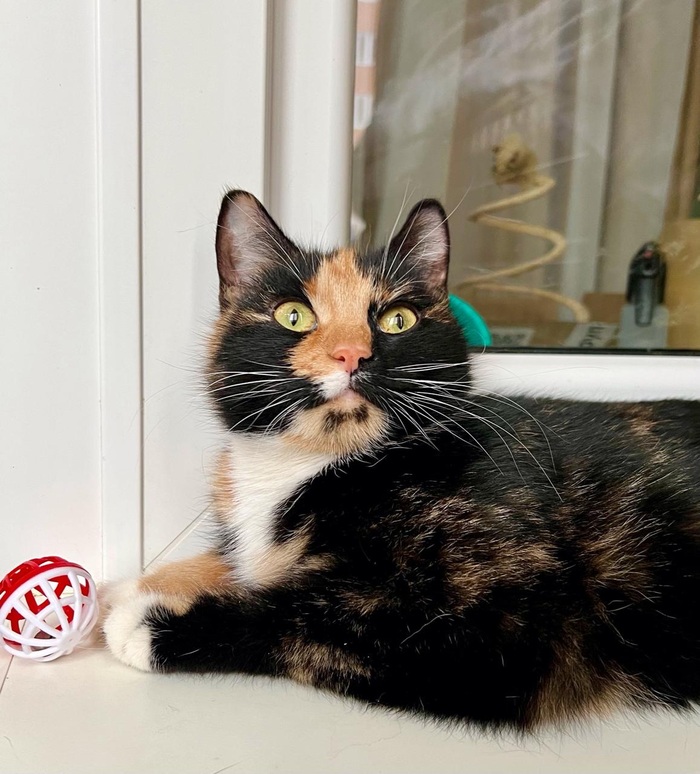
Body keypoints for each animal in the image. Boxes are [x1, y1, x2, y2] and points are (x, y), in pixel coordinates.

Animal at [102, 190, 700, 732]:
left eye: (397, 319)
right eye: (293, 315)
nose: (351, 354)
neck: (319, 467)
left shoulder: (499, 628)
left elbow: (303, 615)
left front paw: (147, 621)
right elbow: (237, 567)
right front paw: (132, 586)